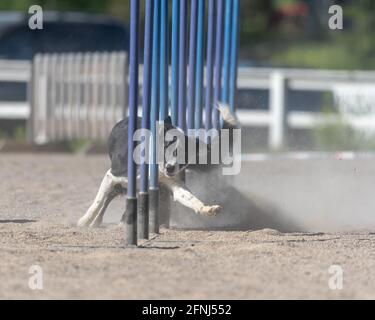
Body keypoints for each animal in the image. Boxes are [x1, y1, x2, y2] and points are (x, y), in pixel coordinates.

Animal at [78, 103, 239, 228]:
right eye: (167, 146)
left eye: (184, 153)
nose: (170, 168)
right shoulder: (112, 175)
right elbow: (97, 202)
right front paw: (84, 221)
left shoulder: (172, 183)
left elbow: (189, 197)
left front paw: (207, 209)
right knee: (106, 199)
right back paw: (95, 221)